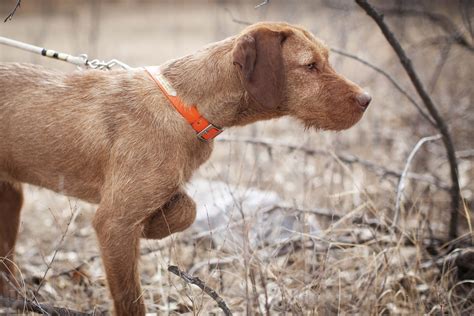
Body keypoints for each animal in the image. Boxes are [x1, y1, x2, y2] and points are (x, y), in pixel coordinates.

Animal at [0, 22, 370, 316]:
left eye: (326, 60)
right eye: (310, 66)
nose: (367, 99)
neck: (186, 105)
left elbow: (187, 208)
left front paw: (155, 224)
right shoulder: (113, 222)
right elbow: (131, 300)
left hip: (10, 200)